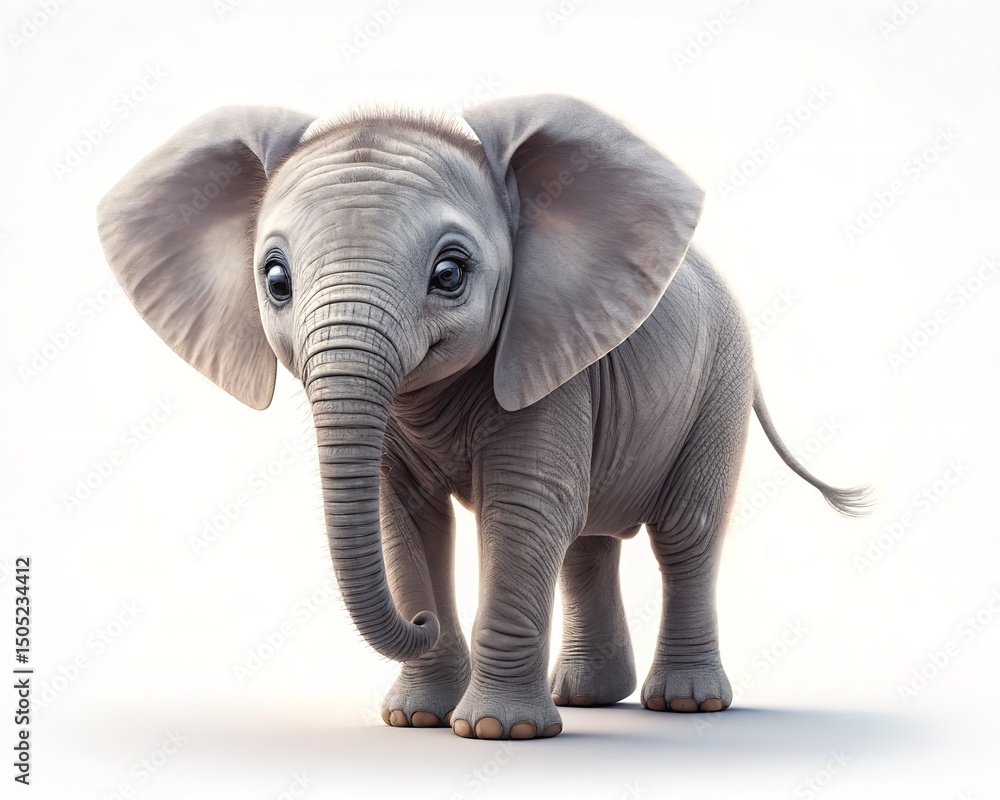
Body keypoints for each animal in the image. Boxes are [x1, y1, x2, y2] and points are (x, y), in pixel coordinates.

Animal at [96, 94, 870, 741]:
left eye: (450, 274)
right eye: (276, 280)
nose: (419, 619)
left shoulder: (547, 352)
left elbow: (522, 511)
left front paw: (499, 731)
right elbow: (407, 517)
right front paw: (415, 719)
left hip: (720, 382)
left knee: (685, 532)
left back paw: (684, 703)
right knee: (588, 541)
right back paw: (586, 697)